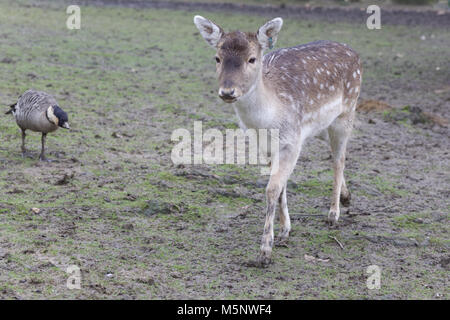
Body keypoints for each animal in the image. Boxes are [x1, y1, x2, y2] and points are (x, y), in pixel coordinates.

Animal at [193, 15, 362, 264]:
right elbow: (281, 186)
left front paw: (265, 250)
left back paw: (333, 214)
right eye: (217, 57)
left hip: (346, 112)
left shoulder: (292, 140)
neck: (269, 120)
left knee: (338, 159)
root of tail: (354, 52)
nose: (227, 92)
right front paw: (284, 231)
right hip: (323, 126)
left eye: (252, 59)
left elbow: (272, 188)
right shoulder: (263, 145)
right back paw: (346, 197)